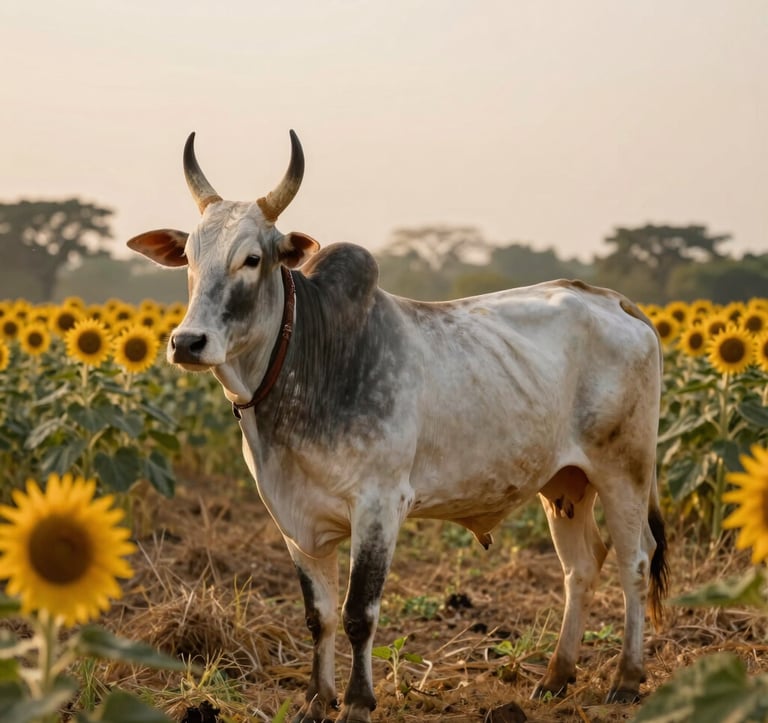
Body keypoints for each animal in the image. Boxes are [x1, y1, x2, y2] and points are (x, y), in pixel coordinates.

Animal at [128, 130, 668, 723]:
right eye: (188, 259)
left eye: (251, 259)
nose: (188, 342)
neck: (310, 364)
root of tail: (611, 299)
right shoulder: (294, 522)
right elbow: (318, 615)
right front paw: (317, 700)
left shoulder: (379, 507)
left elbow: (358, 613)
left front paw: (358, 702)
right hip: (564, 483)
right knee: (581, 567)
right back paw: (556, 676)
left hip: (623, 471)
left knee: (635, 561)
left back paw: (626, 679)